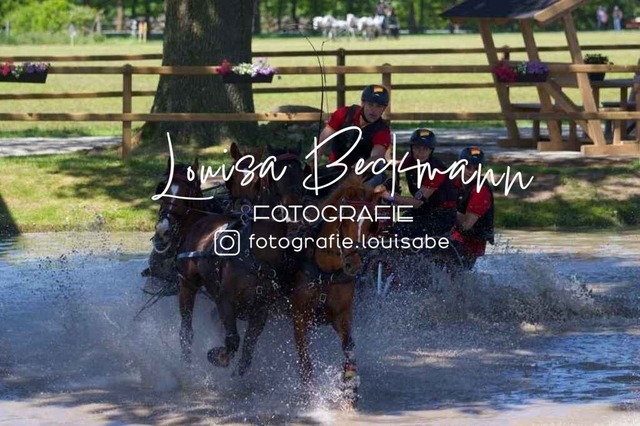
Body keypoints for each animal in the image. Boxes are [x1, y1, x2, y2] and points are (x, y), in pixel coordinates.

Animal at [290, 174, 385, 409]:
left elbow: (349, 347)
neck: (326, 271)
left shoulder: (342, 315)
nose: (354, 264)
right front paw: (311, 396)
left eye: (372, 223)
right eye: (345, 218)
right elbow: (305, 360)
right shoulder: (299, 317)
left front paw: (350, 389)